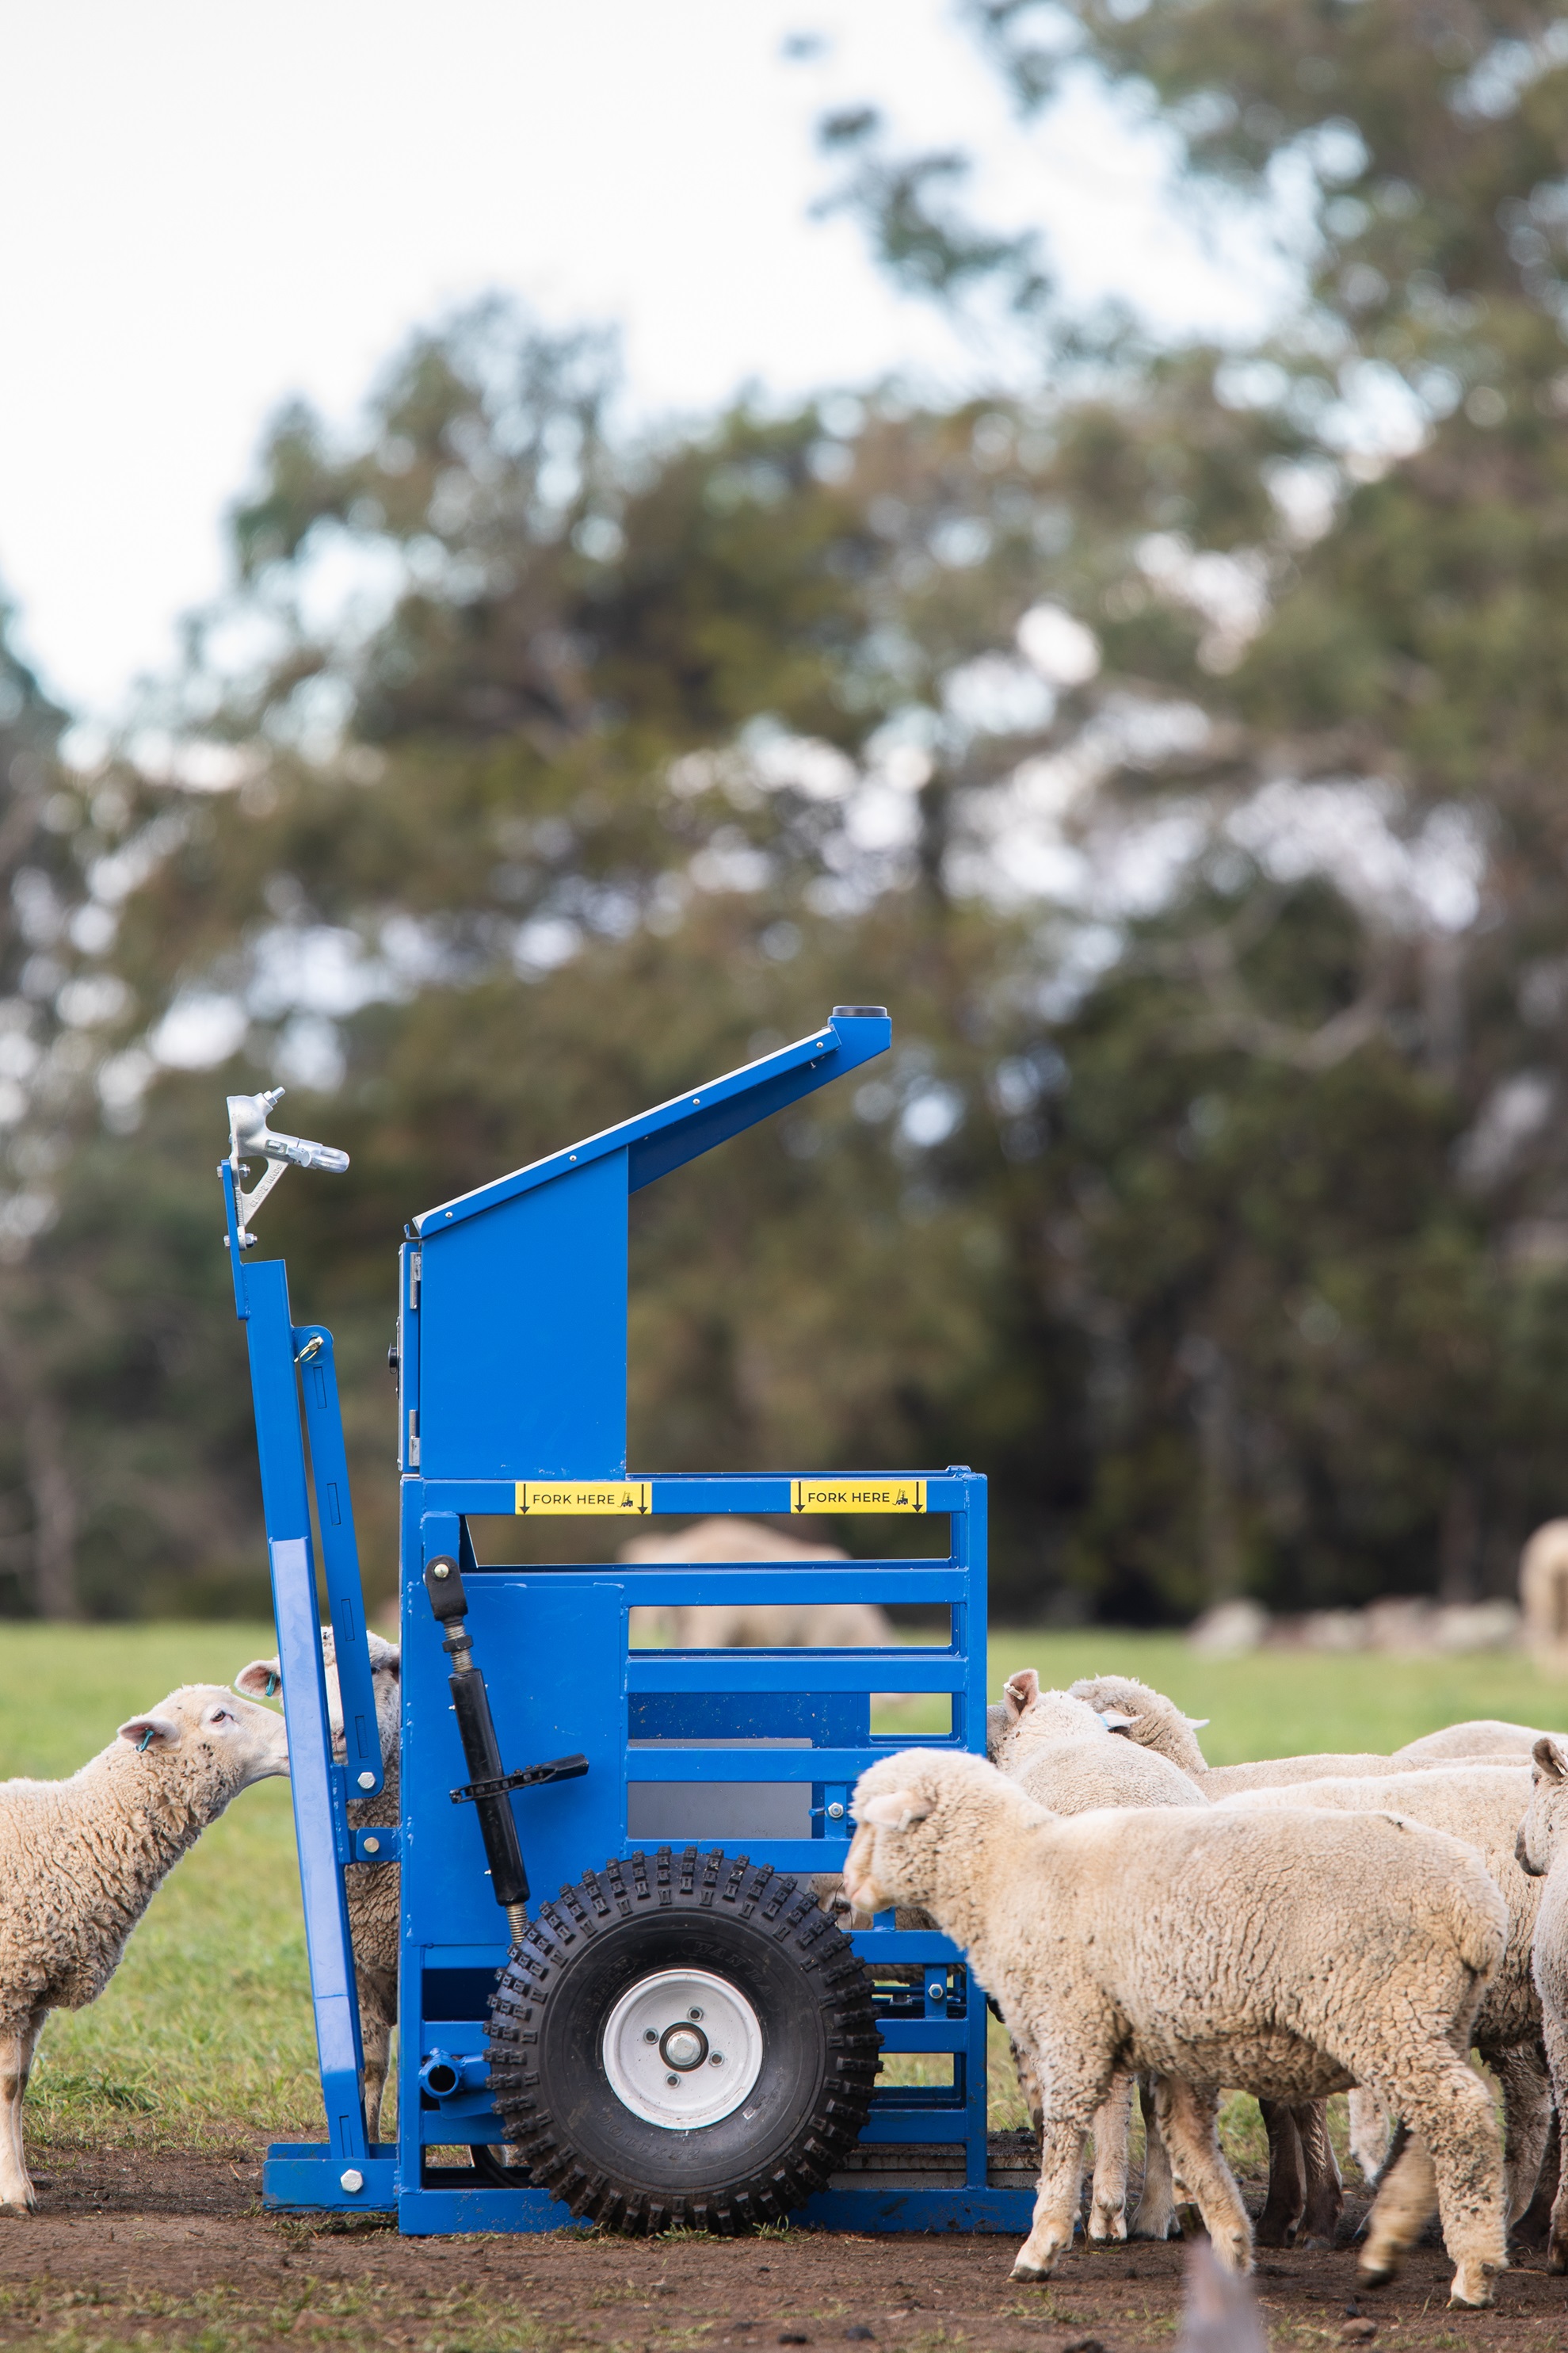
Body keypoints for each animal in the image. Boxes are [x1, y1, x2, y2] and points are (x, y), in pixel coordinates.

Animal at [0, 1684, 289, 2215]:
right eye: (219, 1716)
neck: (71, 1837)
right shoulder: (13, 1985)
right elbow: (10, 2085)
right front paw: (14, 2191)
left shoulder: (34, 1993)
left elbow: (22, 2084)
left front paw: (21, 2181)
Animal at [844, 1747, 1508, 2307]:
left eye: (871, 1823)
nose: (846, 1890)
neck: (1007, 1873)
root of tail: (1476, 1908)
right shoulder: (1166, 2043)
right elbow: (1188, 2140)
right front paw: (1232, 2243)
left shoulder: (1072, 2025)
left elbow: (1064, 2139)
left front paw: (1042, 2244)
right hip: (1435, 2017)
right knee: (1432, 2127)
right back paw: (1389, 2243)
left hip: (1386, 2009)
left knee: (1461, 2116)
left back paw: (1472, 2271)